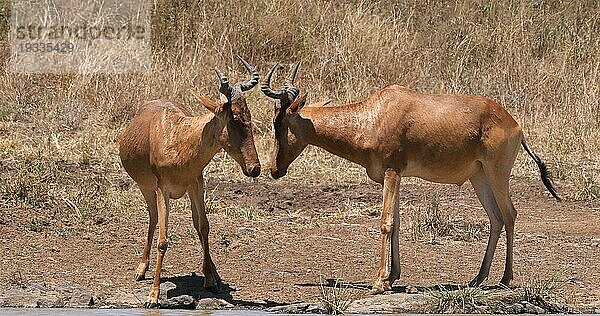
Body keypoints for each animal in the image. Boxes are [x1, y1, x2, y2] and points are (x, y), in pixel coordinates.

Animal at [118, 56, 262, 306]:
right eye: (233, 118)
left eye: (248, 116)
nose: (254, 168)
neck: (178, 135)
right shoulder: (163, 190)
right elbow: (163, 240)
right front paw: (153, 297)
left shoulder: (196, 184)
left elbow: (203, 226)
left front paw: (211, 280)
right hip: (146, 188)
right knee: (153, 218)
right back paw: (141, 269)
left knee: (192, 222)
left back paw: (213, 273)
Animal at [264, 63, 564, 296]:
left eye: (279, 123)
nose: (274, 170)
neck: (376, 114)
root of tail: (514, 124)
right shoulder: (395, 175)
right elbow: (396, 223)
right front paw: (392, 278)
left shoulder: (392, 172)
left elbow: (386, 223)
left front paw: (378, 282)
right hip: (479, 177)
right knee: (496, 218)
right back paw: (478, 278)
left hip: (497, 172)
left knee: (510, 214)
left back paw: (505, 278)